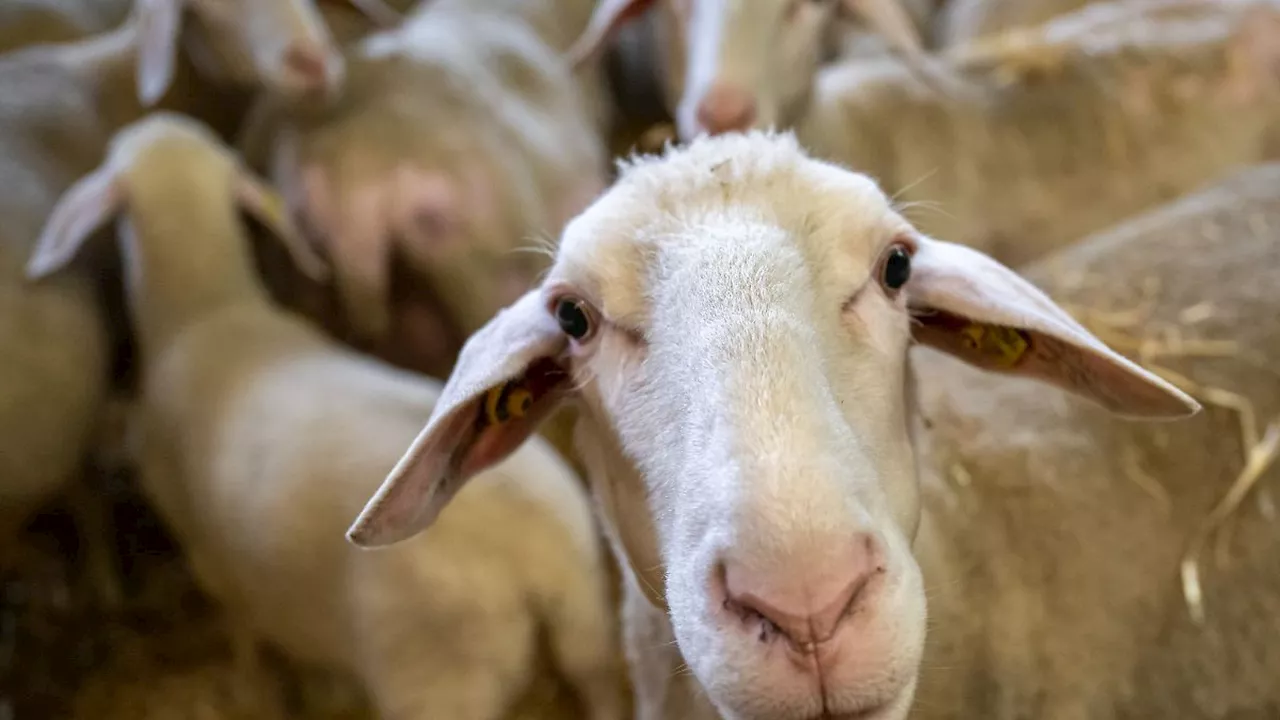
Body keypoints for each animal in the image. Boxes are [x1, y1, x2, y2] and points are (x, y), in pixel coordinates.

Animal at [27, 112, 627, 717]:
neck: (206, 310)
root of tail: (534, 552)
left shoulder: (210, 558)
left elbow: (246, 636)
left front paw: (255, 689)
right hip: (588, 628)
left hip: (437, 678)